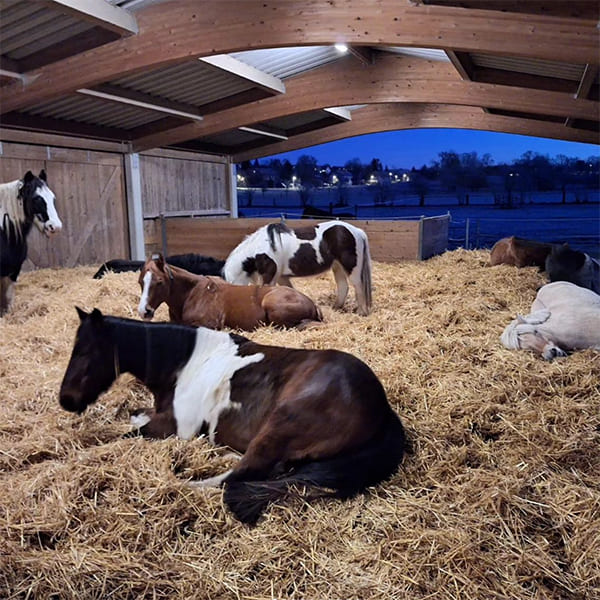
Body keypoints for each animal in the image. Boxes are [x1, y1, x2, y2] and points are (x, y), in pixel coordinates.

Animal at [59, 310, 408, 524]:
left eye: (85, 352)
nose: (66, 400)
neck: (185, 364)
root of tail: (382, 408)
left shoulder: (174, 427)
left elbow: (127, 435)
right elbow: (134, 418)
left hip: (281, 423)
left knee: (239, 475)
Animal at [223, 220, 372, 314]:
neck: (259, 249)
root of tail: (357, 231)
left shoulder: (270, 276)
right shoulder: (281, 276)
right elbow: (289, 290)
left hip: (351, 267)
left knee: (358, 286)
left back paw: (361, 312)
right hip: (338, 266)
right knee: (343, 287)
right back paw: (336, 308)